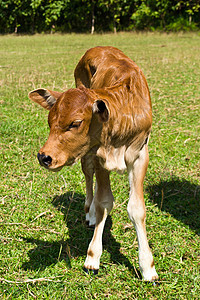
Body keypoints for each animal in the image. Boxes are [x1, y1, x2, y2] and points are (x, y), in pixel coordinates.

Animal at [28, 47, 159, 282]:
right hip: (87, 154)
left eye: (75, 123)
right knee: (88, 176)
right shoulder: (99, 156)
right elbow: (104, 203)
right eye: (50, 121)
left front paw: (147, 266)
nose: (44, 156)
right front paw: (93, 257)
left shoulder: (140, 156)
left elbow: (137, 208)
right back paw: (89, 212)